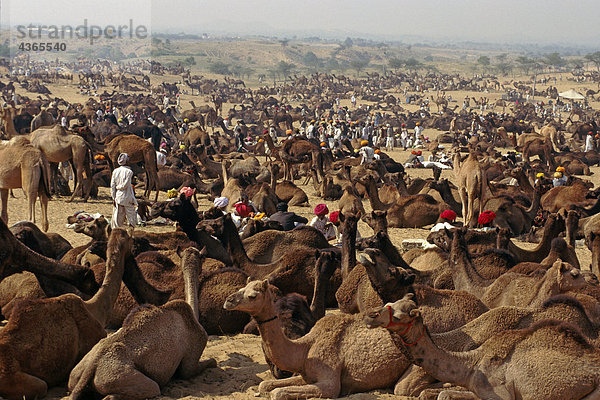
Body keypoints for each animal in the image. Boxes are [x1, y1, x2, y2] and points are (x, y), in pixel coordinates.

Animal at [67, 247, 216, 400]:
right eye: (202, 259)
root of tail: (92, 366)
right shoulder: (193, 355)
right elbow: (204, 365)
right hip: (129, 380)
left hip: (74, 377)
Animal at [223, 280, 410, 398]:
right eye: (241, 289)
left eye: (252, 296)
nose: (228, 300)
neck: (305, 348)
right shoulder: (307, 375)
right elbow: (265, 385)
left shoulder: (330, 382)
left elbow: (278, 393)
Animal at [364, 290, 600, 400]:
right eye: (389, 303)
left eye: (400, 315)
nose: (369, 316)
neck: (472, 364)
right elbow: (444, 394)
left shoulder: (501, 394)